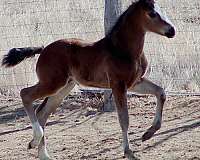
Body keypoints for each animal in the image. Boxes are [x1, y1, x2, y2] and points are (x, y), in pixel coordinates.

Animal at [2, 0, 175, 159]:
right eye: (152, 14)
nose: (172, 31)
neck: (121, 49)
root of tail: (43, 49)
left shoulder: (135, 83)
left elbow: (161, 93)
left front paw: (148, 134)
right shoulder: (118, 85)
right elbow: (124, 118)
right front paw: (128, 152)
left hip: (63, 88)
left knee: (42, 113)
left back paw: (43, 154)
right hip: (52, 83)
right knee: (25, 94)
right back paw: (34, 141)